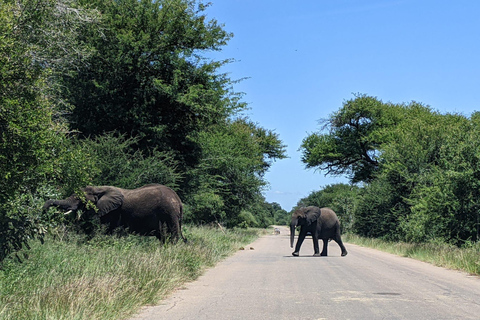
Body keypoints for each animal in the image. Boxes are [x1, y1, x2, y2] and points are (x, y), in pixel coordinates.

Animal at [42, 185, 188, 242]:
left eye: (79, 199)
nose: (44, 212)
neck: (98, 189)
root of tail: (178, 200)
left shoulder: (113, 211)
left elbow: (107, 230)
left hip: (169, 212)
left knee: (172, 234)